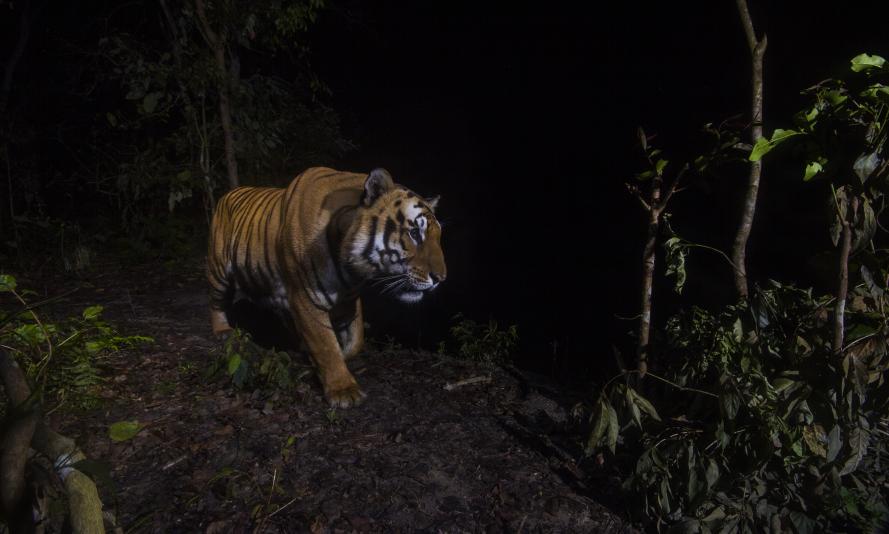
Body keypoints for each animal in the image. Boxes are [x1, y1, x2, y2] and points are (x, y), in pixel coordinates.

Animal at [206, 169, 448, 410]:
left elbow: (356, 339)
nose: (441, 279)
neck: (351, 269)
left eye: (438, 236)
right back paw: (222, 330)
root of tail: (229, 192)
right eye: (415, 233)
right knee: (216, 301)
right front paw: (344, 391)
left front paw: (340, 357)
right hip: (219, 269)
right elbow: (325, 345)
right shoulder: (305, 296)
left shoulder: (348, 298)